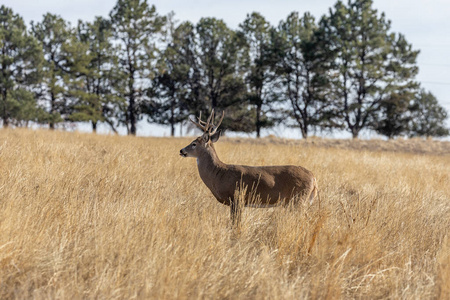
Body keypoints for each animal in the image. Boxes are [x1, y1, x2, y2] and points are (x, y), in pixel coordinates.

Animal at [179, 109, 320, 225]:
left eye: (194, 143)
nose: (181, 150)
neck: (219, 174)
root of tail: (313, 178)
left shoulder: (236, 198)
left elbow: (235, 224)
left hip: (299, 199)